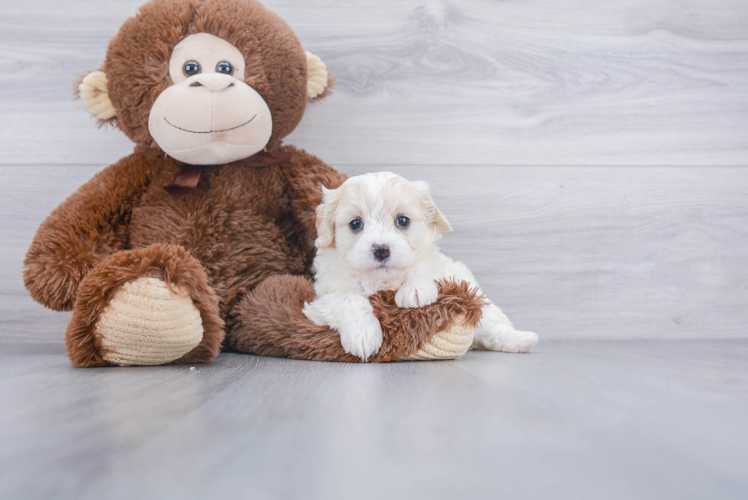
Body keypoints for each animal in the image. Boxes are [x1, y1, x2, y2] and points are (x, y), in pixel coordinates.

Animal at [300, 172, 540, 360]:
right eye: (356, 224)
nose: (381, 249)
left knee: (489, 327)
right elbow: (350, 298)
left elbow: (422, 269)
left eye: (403, 221)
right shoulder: (321, 300)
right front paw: (364, 335)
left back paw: (521, 340)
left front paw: (415, 289)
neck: (382, 281)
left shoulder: (442, 269)